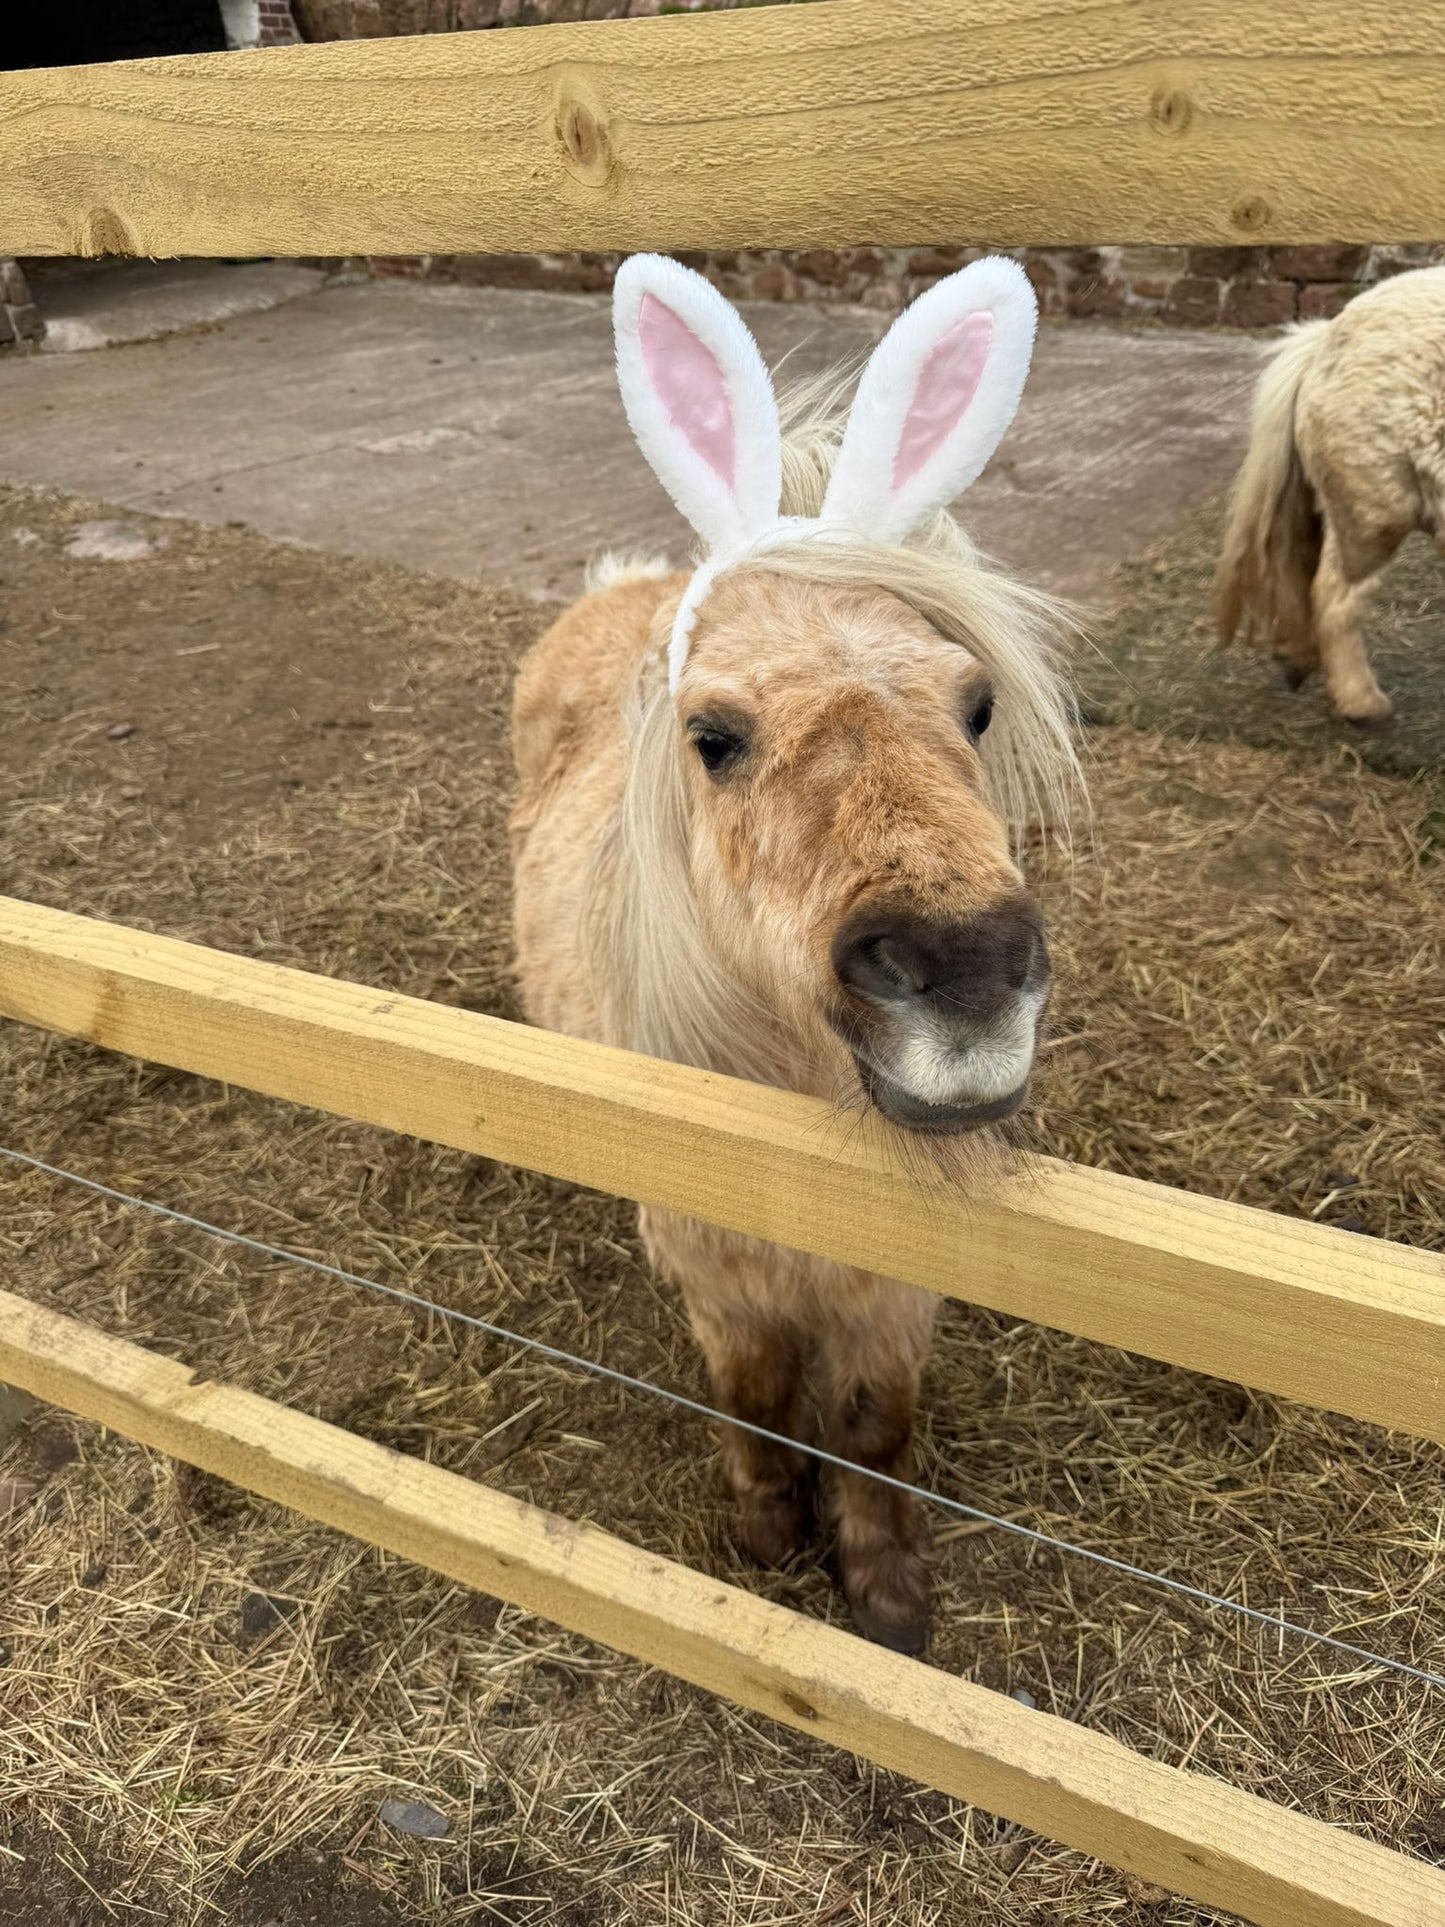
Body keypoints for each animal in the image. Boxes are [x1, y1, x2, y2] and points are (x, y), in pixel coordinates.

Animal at [509, 254, 1078, 1652]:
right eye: (712, 735)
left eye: (975, 703)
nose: (964, 975)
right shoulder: (721, 1271)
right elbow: (760, 1396)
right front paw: (769, 1535)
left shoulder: (890, 1287)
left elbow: (871, 1430)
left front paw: (883, 1593)